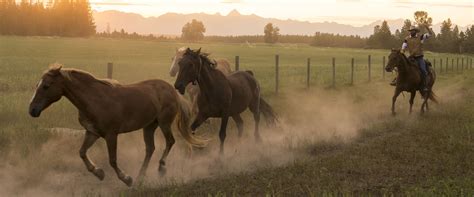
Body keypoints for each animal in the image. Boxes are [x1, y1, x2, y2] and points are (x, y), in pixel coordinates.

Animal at [28, 64, 205, 186]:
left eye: (46, 86)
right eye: (37, 85)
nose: (32, 110)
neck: (94, 100)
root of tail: (171, 89)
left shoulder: (111, 135)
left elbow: (112, 160)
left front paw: (126, 179)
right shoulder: (92, 133)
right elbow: (82, 152)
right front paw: (99, 173)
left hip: (164, 122)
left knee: (170, 141)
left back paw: (160, 169)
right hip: (149, 126)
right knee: (150, 149)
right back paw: (141, 176)